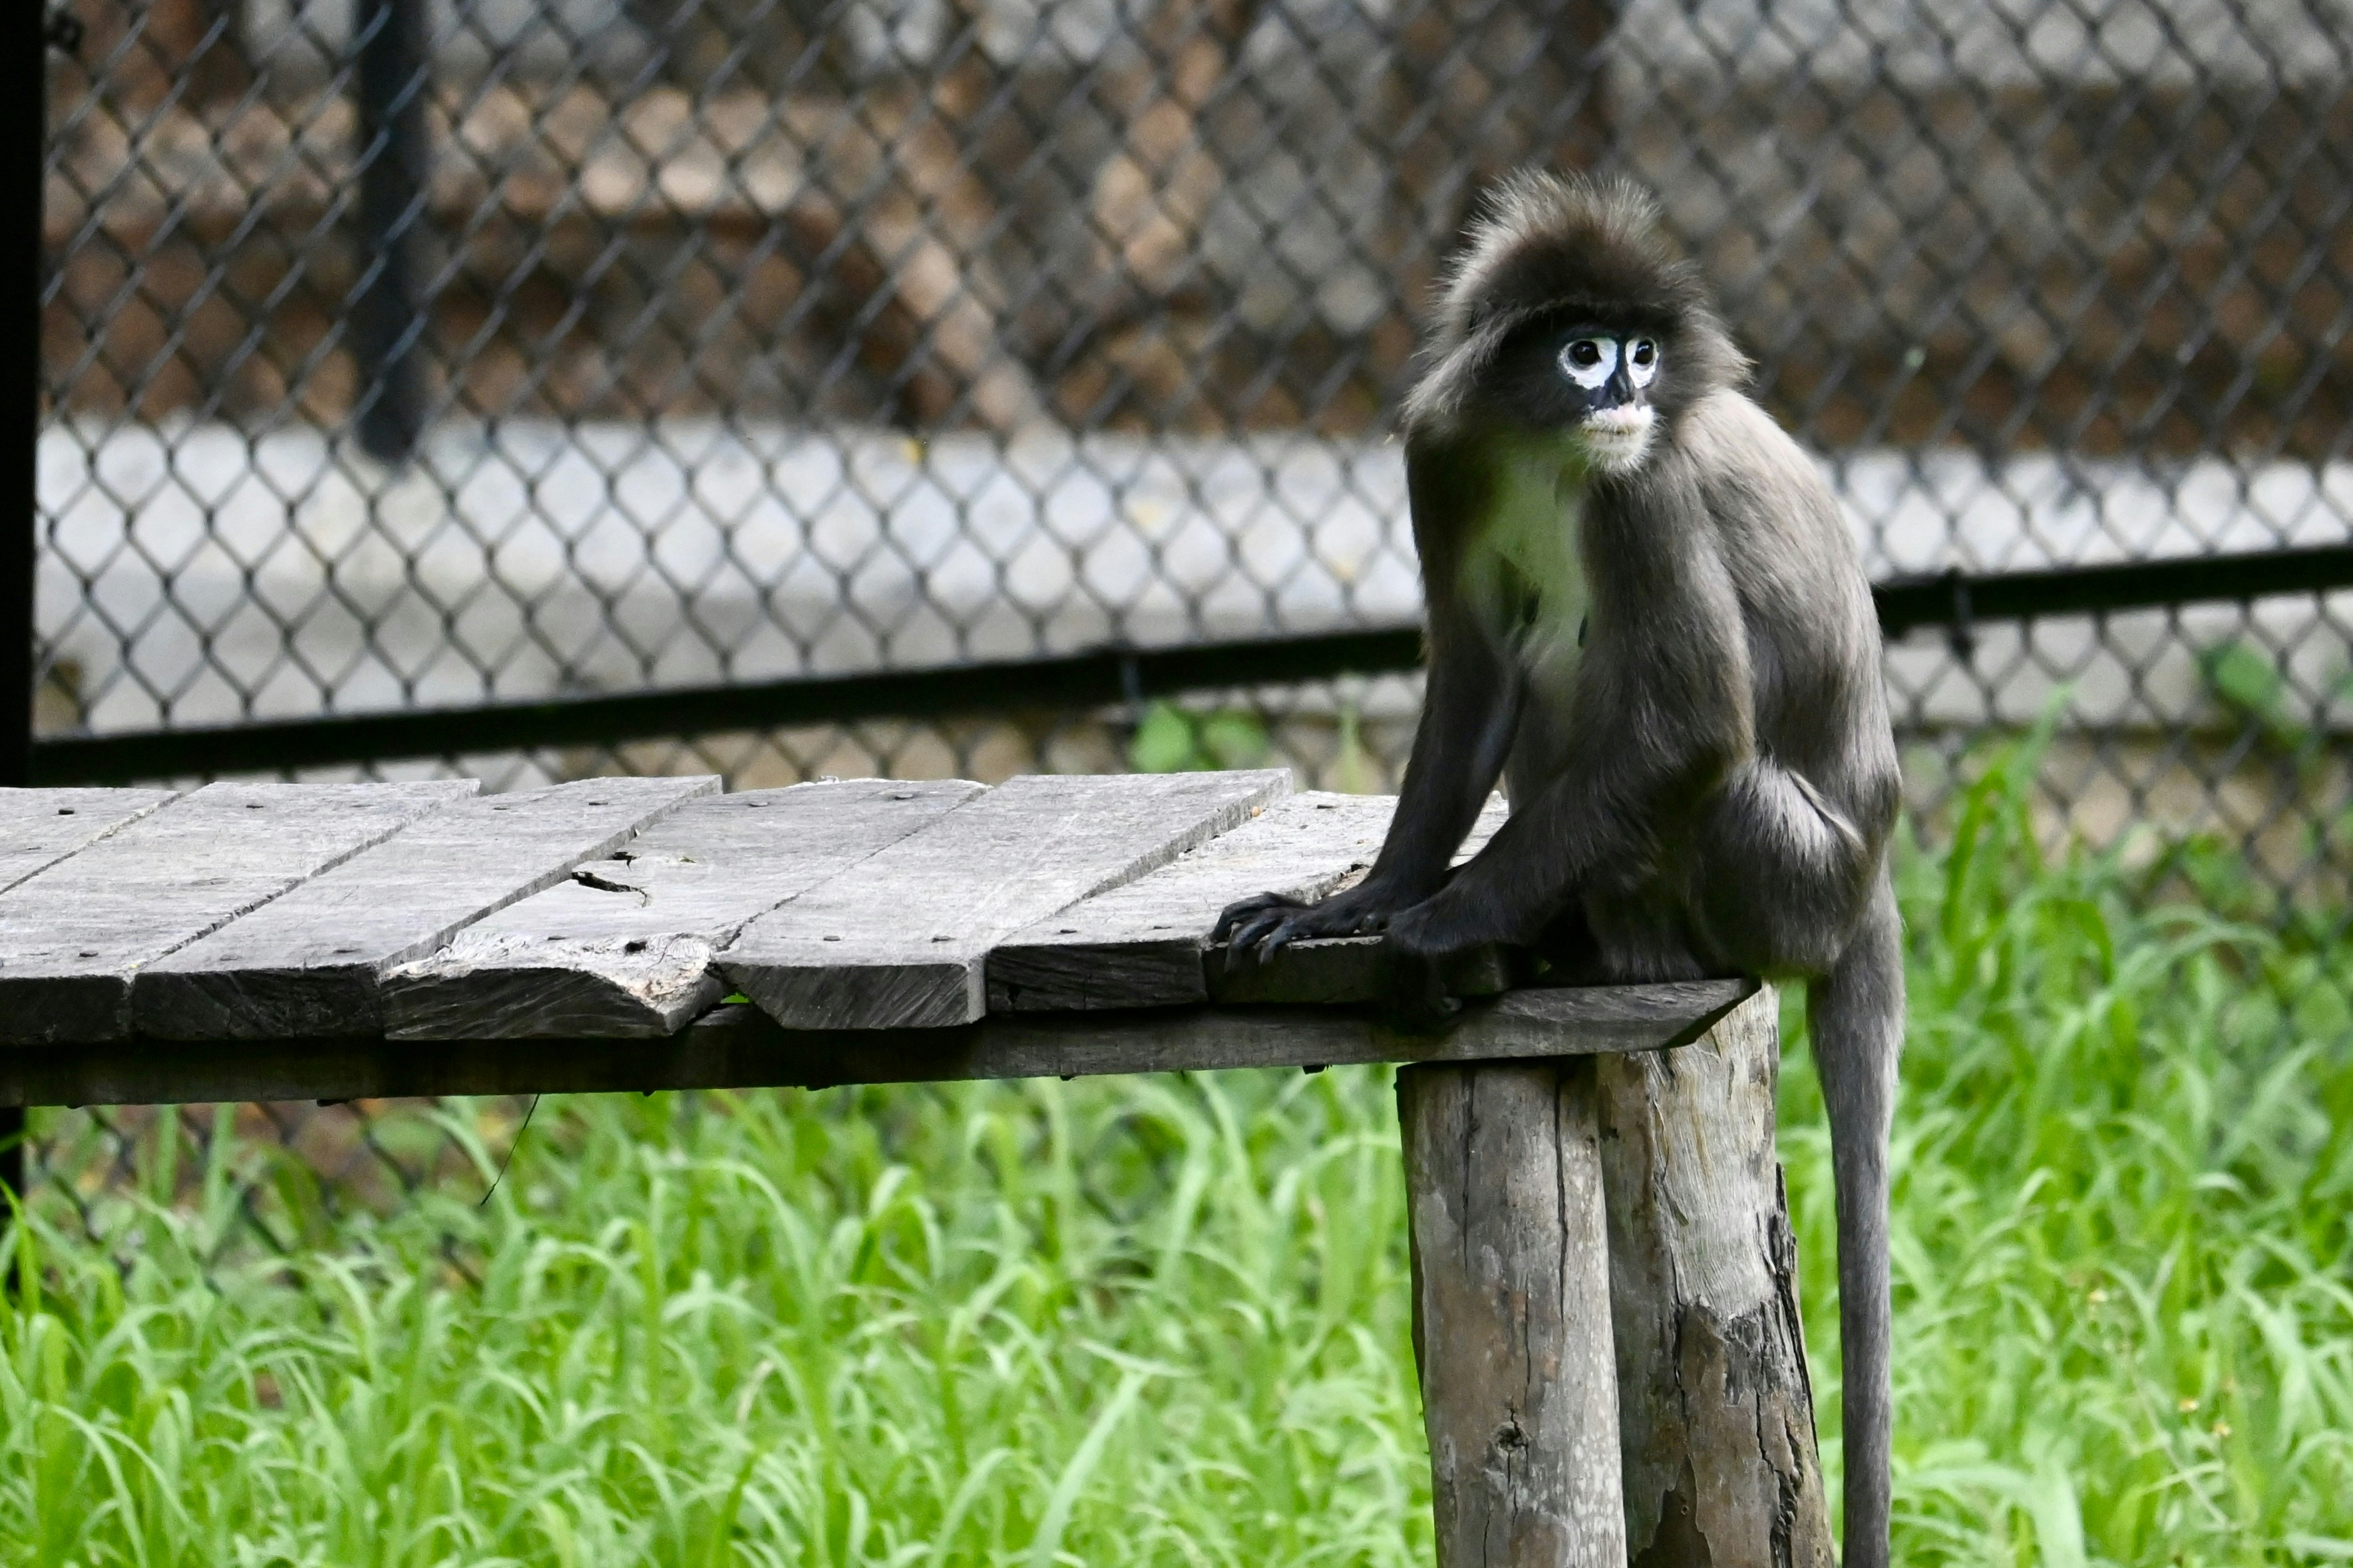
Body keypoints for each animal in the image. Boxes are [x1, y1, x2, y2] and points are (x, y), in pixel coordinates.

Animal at [1214, 172, 1904, 1568]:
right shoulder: (1446, 456)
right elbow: (1477, 666)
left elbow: (1692, 727)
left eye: (1638, 349)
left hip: (1785, 869)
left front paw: (1435, 930)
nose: (1625, 389)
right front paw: (1362, 902)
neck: (1550, 452)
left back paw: (1603, 947)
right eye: (1584, 351)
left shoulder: (1647, 490)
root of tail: (1869, 880)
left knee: (1679, 728)